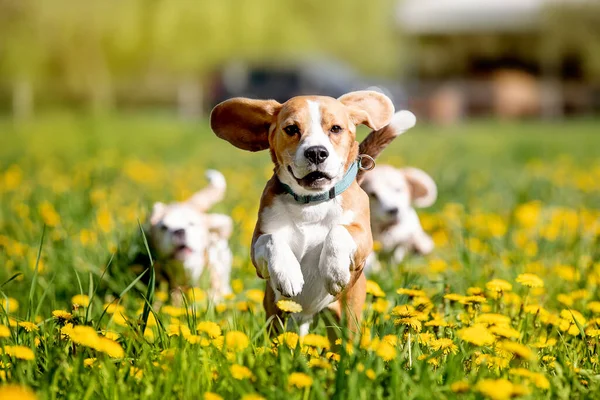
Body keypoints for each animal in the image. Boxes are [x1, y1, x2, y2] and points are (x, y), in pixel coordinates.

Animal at [212, 91, 418, 338]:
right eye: (291, 129)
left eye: (336, 128)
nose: (317, 152)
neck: (311, 203)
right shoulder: (257, 252)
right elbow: (271, 239)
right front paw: (288, 273)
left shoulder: (363, 241)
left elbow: (338, 231)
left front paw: (334, 271)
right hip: (278, 317)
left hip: (347, 318)